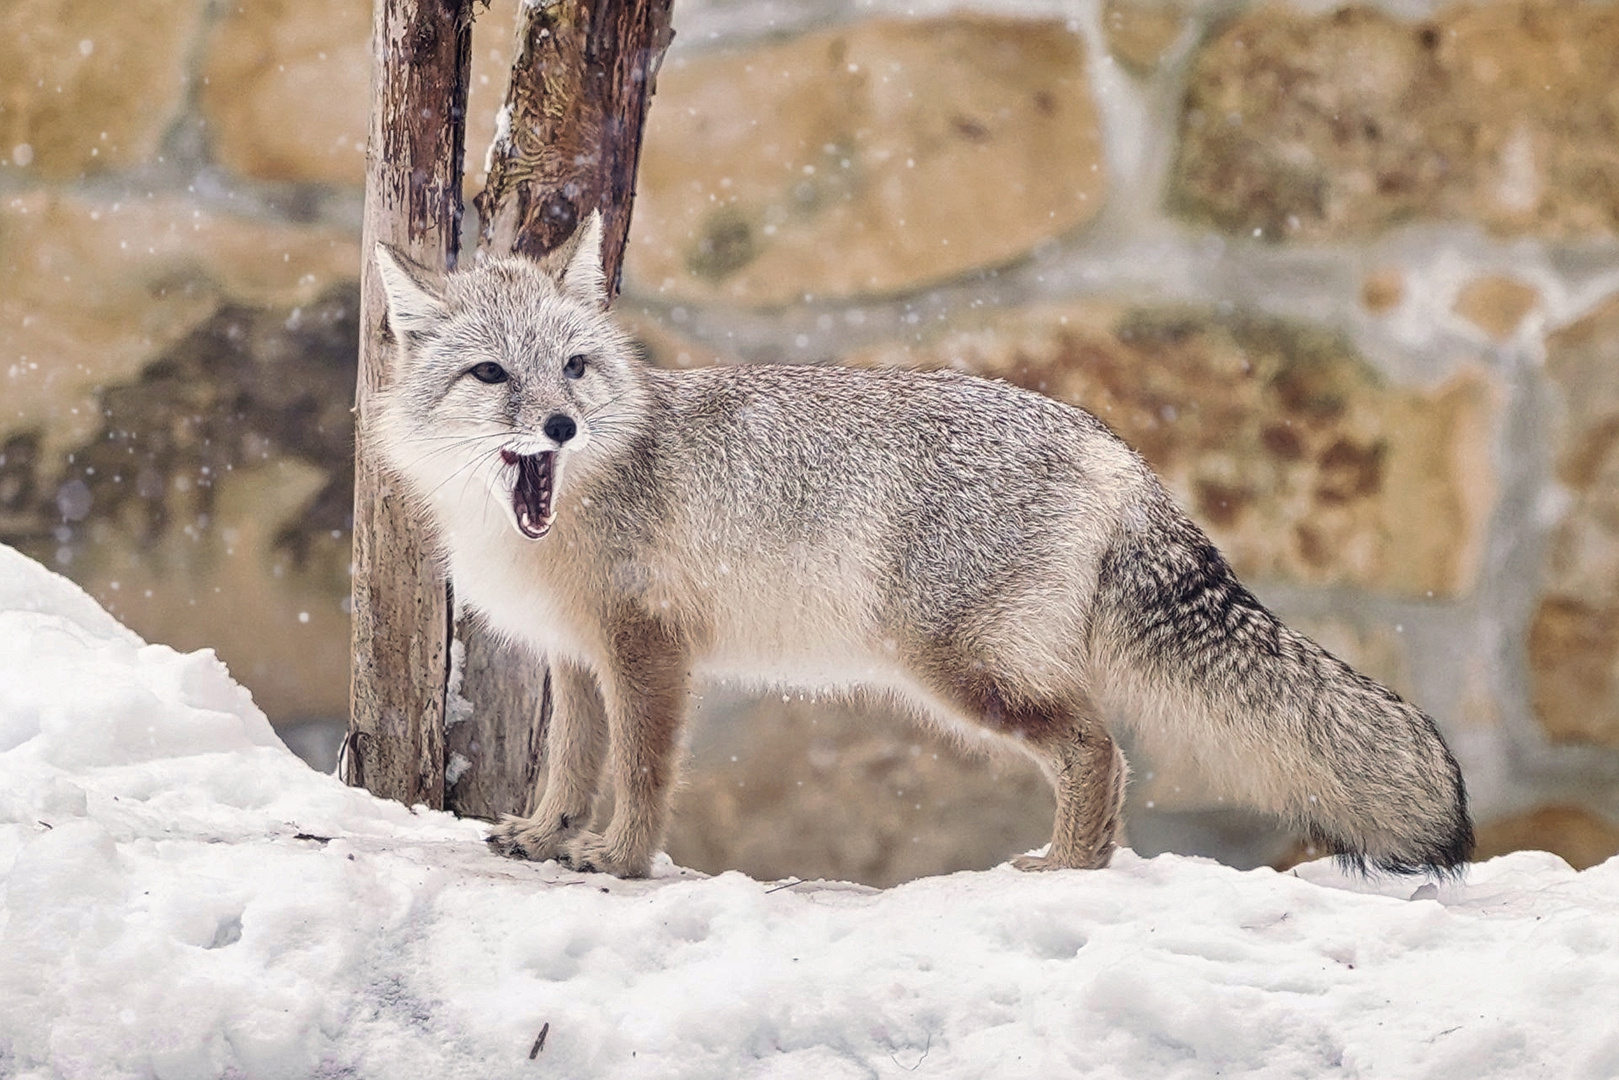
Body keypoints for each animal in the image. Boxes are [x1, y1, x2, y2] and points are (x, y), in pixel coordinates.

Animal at [370, 215, 1483, 880]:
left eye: (572, 368)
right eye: (491, 375)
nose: (560, 426)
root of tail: (1111, 443)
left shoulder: (650, 651)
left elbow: (641, 774)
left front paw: (619, 861)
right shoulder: (577, 658)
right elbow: (569, 766)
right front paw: (546, 837)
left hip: (962, 671)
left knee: (1098, 747)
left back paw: (1065, 873)